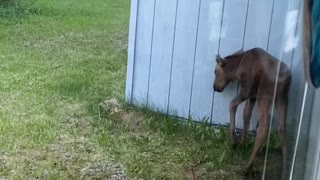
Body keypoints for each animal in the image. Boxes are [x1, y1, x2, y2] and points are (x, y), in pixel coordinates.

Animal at [214, 47, 292, 179]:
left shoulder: (247, 90)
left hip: (264, 95)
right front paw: (243, 141)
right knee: (282, 128)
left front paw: (233, 140)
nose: (215, 87)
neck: (236, 69)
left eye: (215, 72)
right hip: (283, 98)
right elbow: (246, 115)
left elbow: (232, 104)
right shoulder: (252, 96)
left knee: (263, 128)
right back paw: (285, 172)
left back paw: (247, 167)